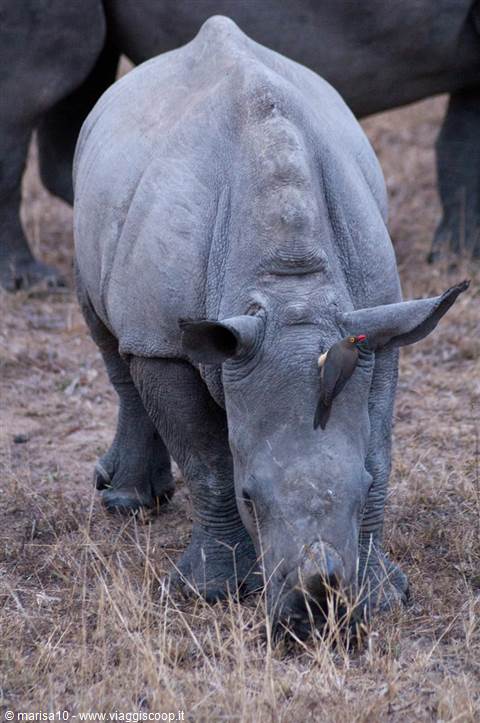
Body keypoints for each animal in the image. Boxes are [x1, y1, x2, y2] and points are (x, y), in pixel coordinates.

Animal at [73, 17, 468, 636]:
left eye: (359, 495)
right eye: (249, 497)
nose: (316, 619)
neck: (289, 295)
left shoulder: (377, 328)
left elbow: (378, 452)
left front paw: (382, 596)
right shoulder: (166, 342)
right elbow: (208, 461)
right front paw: (209, 591)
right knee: (114, 346)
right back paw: (127, 504)